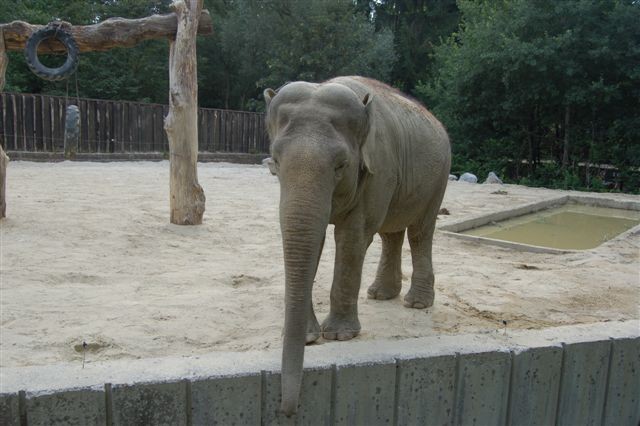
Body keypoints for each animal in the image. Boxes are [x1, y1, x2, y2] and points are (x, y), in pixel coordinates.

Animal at [264, 75, 450, 414]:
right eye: (275, 161)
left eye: (341, 165)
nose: (286, 410)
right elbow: (315, 239)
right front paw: (310, 337)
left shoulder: (379, 169)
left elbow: (352, 237)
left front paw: (339, 336)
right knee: (392, 232)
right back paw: (380, 295)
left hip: (438, 177)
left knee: (419, 232)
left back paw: (416, 304)